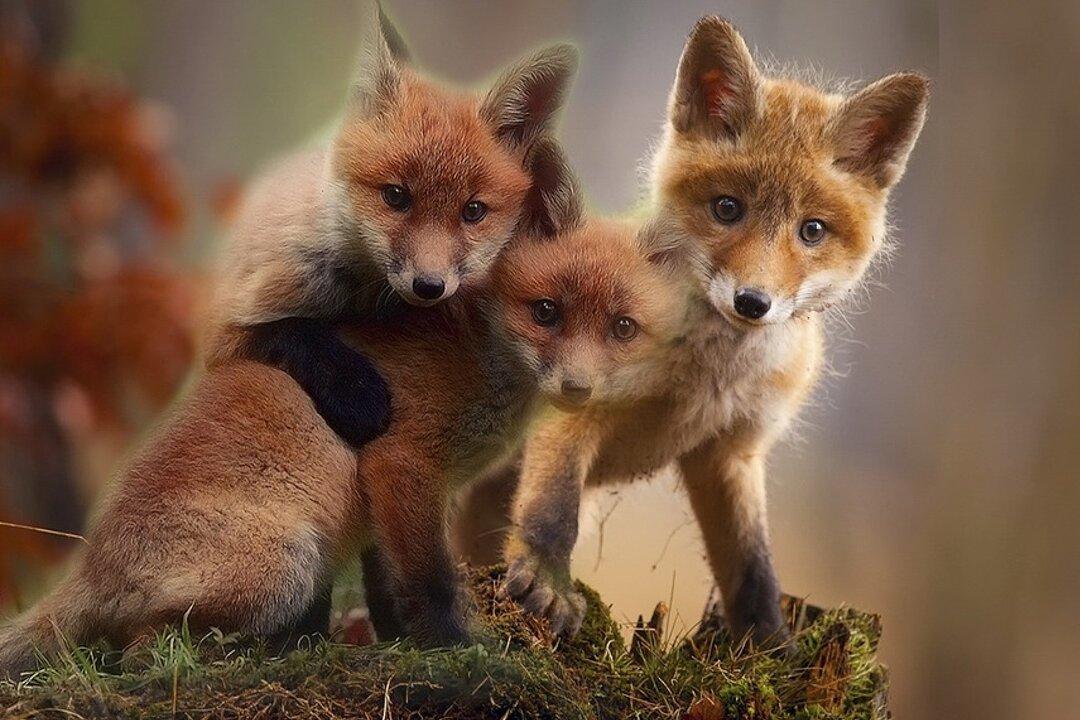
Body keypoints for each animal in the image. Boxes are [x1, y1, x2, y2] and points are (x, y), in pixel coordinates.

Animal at [0, 141, 687, 673]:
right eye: (546, 312)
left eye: (621, 328)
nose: (578, 388)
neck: (480, 354)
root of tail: (90, 561)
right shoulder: (401, 463)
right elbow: (430, 583)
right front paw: (457, 652)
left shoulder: (398, 495)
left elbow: (390, 589)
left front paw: (403, 644)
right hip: (287, 565)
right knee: (139, 652)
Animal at [205, 3, 578, 448]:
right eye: (396, 196)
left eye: (473, 211)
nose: (429, 286)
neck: (360, 298)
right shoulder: (224, 329)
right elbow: (292, 332)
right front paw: (355, 392)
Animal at [456, 16, 929, 643]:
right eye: (727, 208)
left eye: (812, 230)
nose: (753, 302)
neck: (705, 377)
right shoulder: (575, 400)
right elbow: (553, 511)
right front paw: (548, 583)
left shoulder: (731, 452)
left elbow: (753, 565)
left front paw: (770, 643)